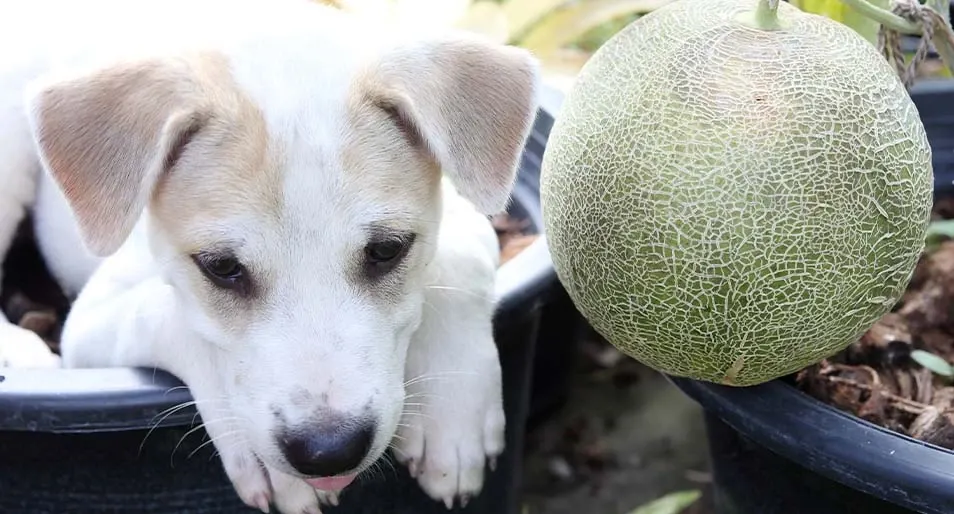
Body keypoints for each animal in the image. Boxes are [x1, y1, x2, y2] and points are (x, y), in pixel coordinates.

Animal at [0, 2, 536, 510]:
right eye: (221, 268)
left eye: (387, 250)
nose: (328, 452)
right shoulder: (92, 319)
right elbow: (172, 316)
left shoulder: (465, 211)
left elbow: (458, 261)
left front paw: (454, 416)